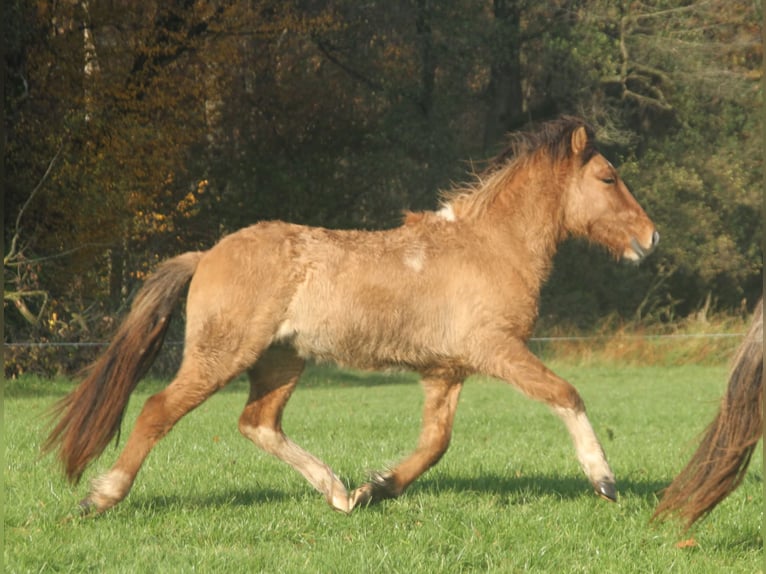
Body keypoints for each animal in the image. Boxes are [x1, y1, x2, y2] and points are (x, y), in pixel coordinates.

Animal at [44, 116, 659, 515]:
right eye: (608, 178)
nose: (650, 238)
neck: (489, 247)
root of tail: (207, 254)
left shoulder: (445, 372)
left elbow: (435, 444)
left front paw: (376, 488)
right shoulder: (497, 349)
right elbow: (566, 394)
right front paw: (604, 480)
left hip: (281, 361)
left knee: (257, 423)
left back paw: (337, 492)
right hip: (223, 354)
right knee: (157, 410)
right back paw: (100, 497)